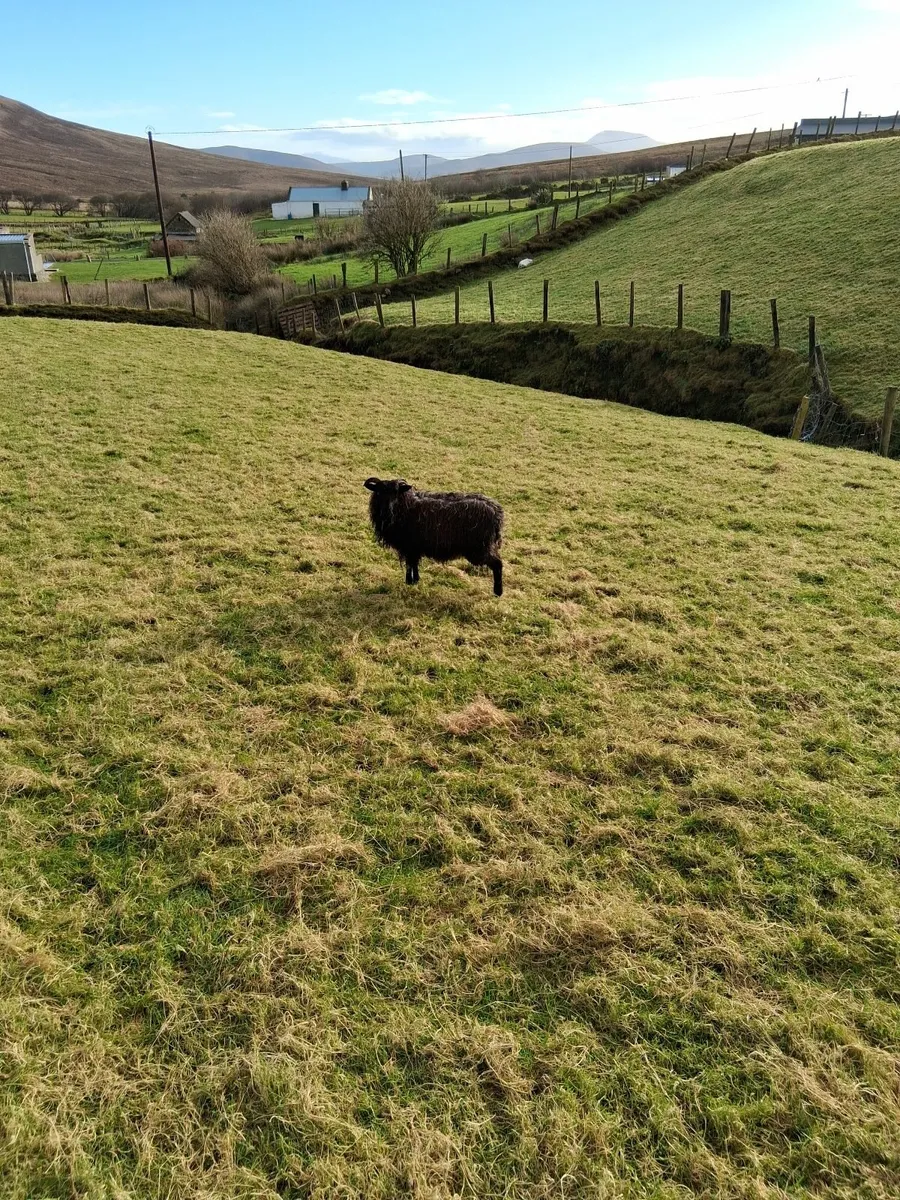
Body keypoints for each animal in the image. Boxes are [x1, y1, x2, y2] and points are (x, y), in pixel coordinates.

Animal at [364, 477, 504, 596]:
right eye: (378, 492)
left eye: (396, 493)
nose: (387, 510)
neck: (405, 506)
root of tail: (497, 512)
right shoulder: (414, 547)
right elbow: (414, 564)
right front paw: (415, 581)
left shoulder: (409, 546)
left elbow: (409, 565)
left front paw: (408, 582)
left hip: (479, 548)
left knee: (497, 564)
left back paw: (498, 592)